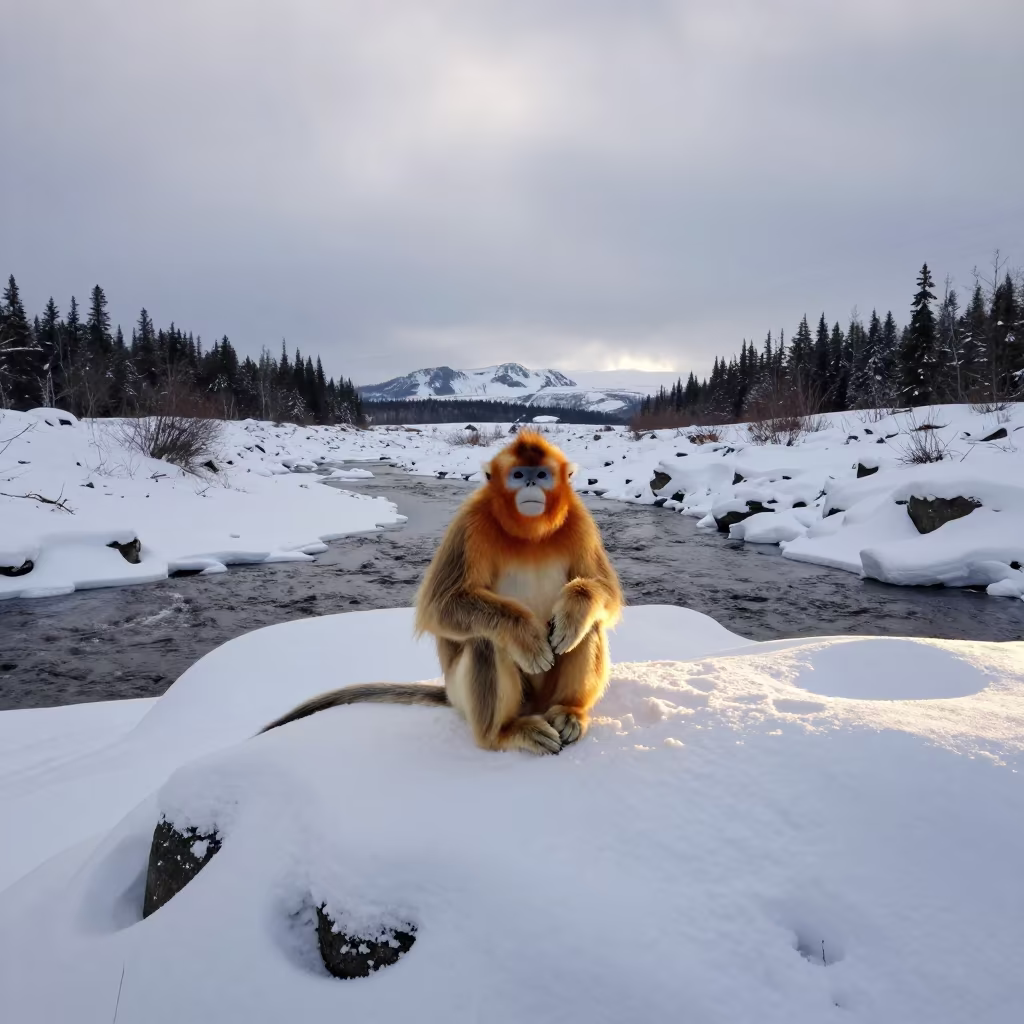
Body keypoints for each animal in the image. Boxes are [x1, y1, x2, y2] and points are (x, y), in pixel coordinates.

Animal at [260, 431, 623, 755]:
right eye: (519, 475)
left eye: (542, 475)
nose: (531, 484)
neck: (530, 535)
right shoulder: (470, 524)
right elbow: (438, 607)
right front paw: (527, 637)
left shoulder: (579, 521)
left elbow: (605, 593)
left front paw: (573, 611)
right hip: (466, 696)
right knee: (486, 639)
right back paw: (503, 732)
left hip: (542, 695)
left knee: (587, 627)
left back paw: (569, 710)